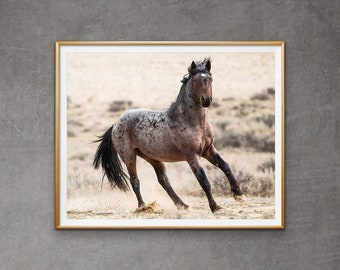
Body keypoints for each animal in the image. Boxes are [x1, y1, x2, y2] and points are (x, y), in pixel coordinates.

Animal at [93, 59, 244, 213]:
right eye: (195, 80)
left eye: (210, 79)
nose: (206, 100)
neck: (192, 122)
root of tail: (116, 123)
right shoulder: (192, 156)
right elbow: (204, 180)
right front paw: (215, 207)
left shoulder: (208, 150)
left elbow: (225, 166)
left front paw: (238, 194)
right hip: (129, 156)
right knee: (135, 181)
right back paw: (143, 206)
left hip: (152, 158)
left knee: (163, 181)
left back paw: (182, 205)